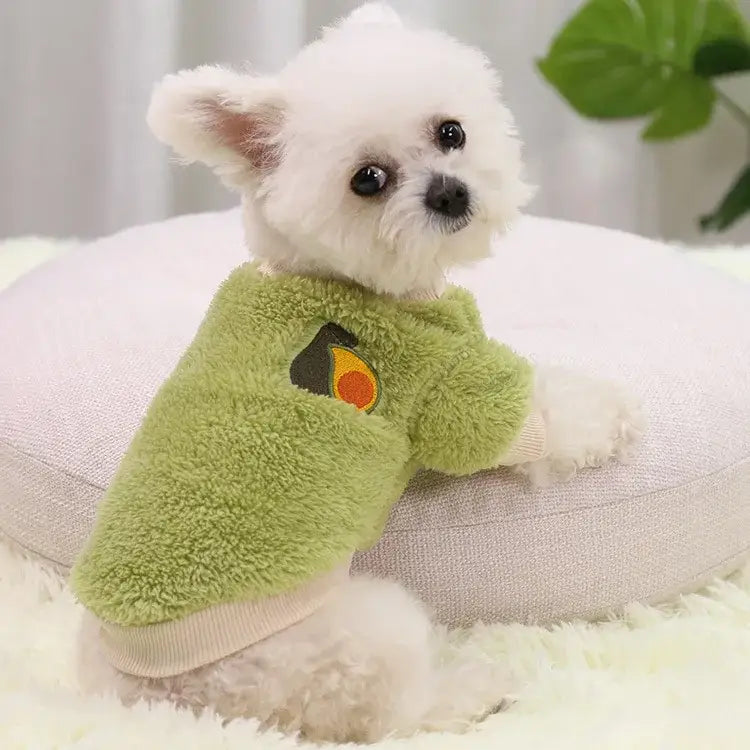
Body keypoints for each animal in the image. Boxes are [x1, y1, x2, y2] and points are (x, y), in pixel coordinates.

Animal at [76, 4, 644, 748]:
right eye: (368, 179)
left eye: (451, 132)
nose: (450, 191)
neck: (332, 273)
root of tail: (170, 699)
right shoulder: (446, 383)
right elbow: (539, 411)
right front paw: (611, 409)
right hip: (359, 630)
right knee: (395, 713)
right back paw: (471, 689)